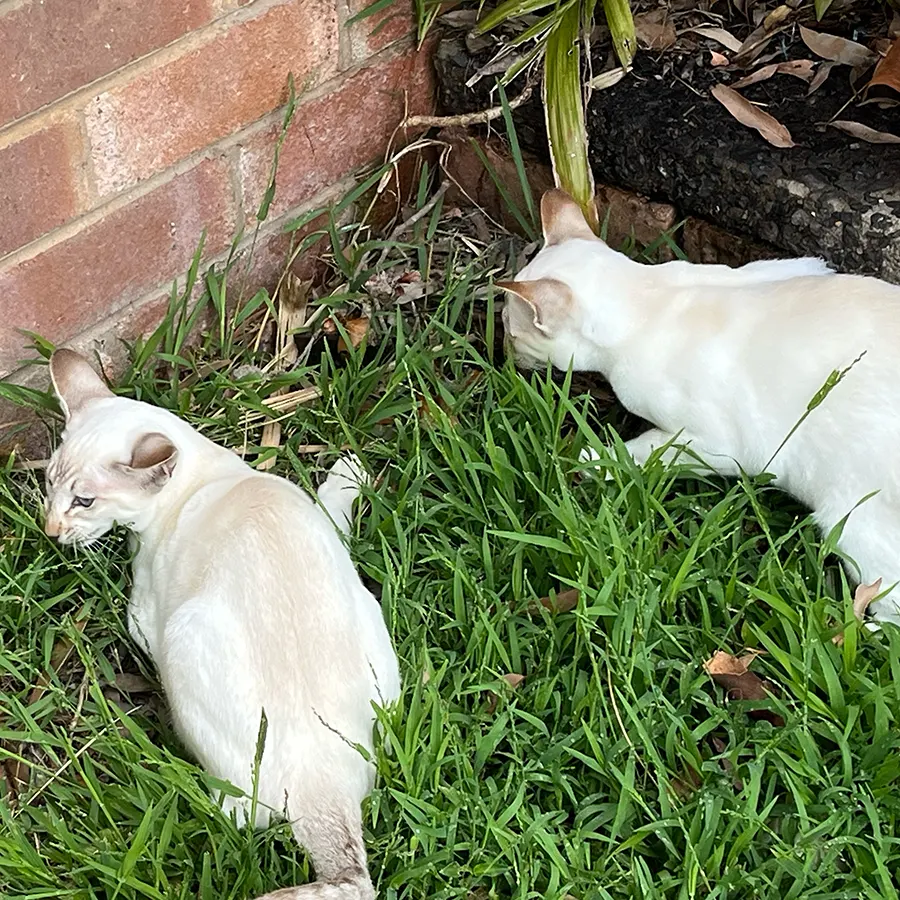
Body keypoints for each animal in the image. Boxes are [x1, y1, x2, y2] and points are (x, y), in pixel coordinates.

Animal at [42, 350, 400, 900]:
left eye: (84, 502)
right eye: (48, 483)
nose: (50, 530)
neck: (208, 473)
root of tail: (324, 783)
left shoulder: (144, 616)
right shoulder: (322, 521)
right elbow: (335, 494)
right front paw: (351, 469)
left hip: (182, 640)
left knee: (239, 815)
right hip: (373, 627)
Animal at [500, 188, 900, 624]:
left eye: (508, 329)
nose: (504, 352)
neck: (649, 298)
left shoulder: (716, 446)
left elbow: (638, 452)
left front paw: (587, 459)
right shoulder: (786, 266)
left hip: (853, 524)